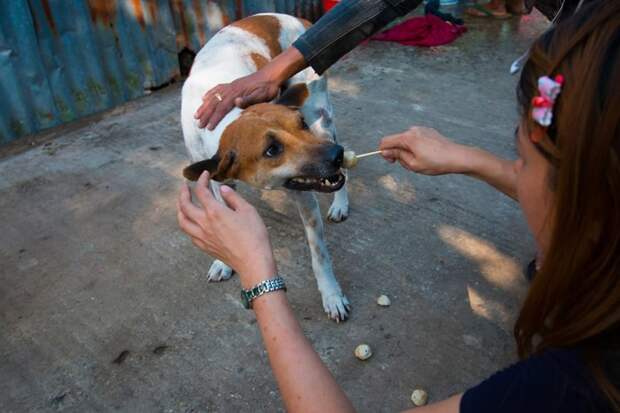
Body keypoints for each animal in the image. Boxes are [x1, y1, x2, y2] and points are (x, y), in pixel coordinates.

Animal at [182, 12, 352, 320]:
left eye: (300, 124)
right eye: (271, 150)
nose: (336, 155)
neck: (227, 116)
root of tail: (296, 17)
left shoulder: (303, 192)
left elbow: (319, 255)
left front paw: (332, 294)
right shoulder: (217, 182)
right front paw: (223, 261)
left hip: (322, 120)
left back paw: (340, 204)